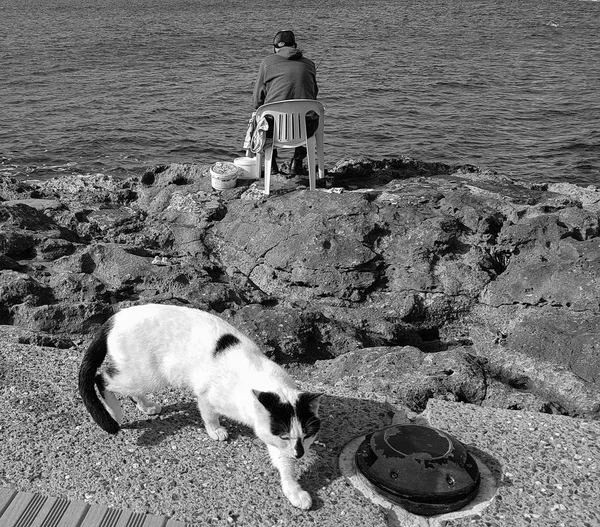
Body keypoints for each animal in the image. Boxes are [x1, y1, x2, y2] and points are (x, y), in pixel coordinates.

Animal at [80, 304, 324, 510]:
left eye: (307, 436)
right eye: (285, 436)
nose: (300, 454)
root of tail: (115, 318)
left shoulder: (271, 434)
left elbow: (284, 464)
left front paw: (294, 491)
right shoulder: (207, 394)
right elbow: (208, 414)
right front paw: (215, 431)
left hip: (143, 376)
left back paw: (146, 406)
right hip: (146, 376)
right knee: (102, 378)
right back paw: (115, 413)